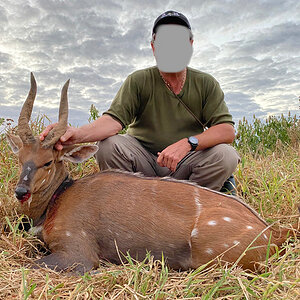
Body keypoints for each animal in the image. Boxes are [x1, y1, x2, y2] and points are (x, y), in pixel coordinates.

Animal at [6, 73, 298, 274]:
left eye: (48, 162)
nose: (21, 192)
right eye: (20, 159)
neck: (57, 201)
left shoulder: (77, 253)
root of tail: (273, 232)